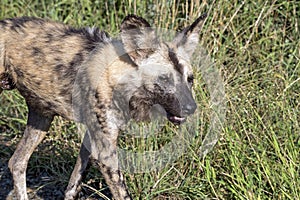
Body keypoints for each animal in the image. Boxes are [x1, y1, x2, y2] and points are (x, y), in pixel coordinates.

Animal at [0, 13, 206, 198]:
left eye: (190, 79)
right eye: (164, 79)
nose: (191, 108)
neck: (118, 77)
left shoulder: (91, 140)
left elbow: (73, 186)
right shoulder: (105, 152)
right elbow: (122, 194)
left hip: (41, 117)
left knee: (17, 162)